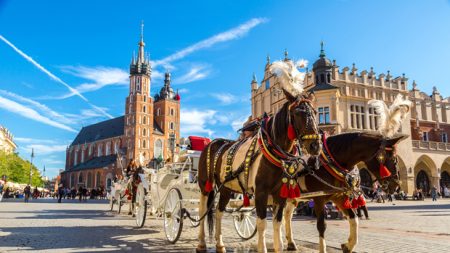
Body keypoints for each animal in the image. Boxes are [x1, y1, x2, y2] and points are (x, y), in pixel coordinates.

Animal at [196, 88, 320, 251]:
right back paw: (201, 243)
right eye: (298, 112)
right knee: (203, 210)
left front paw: (280, 247)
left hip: (226, 188)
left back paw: (220, 244)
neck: (275, 152)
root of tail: (212, 142)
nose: (315, 145)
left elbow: (277, 223)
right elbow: (262, 223)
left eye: (315, 112)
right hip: (205, 185)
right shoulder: (261, 192)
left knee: (218, 211)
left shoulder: (280, 194)